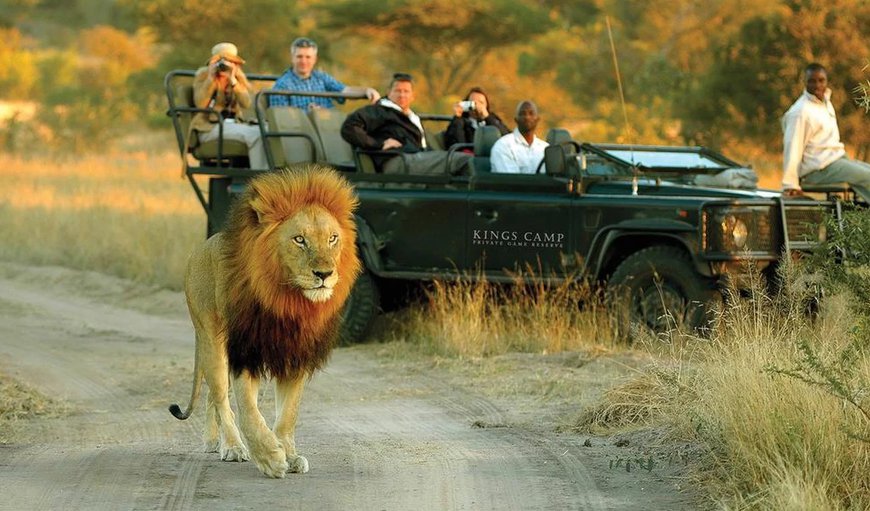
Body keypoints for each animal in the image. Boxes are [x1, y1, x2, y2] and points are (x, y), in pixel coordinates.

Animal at [170, 165, 362, 480]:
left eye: (333, 238)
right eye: (300, 239)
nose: (324, 274)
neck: (288, 302)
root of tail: (203, 245)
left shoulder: (296, 357)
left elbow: (288, 415)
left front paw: (290, 455)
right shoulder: (246, 352)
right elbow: (249, 411)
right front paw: (270, 457)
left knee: (213, 396)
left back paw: (212, 440)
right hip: (212, 339)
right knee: (221, 397)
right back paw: (232, 446)